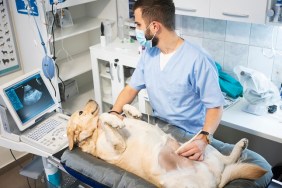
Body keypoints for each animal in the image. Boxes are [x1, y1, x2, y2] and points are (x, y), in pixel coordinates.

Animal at [67, 100, 266, 187]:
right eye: (80, 111)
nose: (91, 99)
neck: (95, 134)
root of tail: (217, 178)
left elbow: (123, 111)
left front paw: (131, 111)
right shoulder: (118, 146)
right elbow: (103, 117)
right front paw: (113, 121)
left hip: (205, 149)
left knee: (227, 159)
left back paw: (240, 145)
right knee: (228, 163)